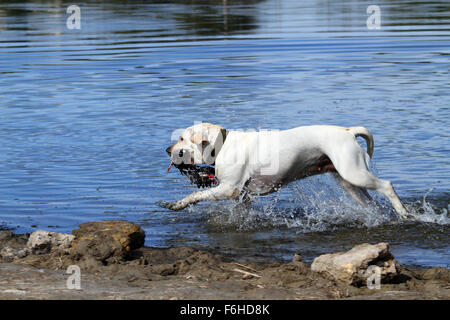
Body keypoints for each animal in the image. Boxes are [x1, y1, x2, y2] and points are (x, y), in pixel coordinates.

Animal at [163, 123, 410, 220]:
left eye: (181, 138)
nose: (167, 150)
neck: (222, 146)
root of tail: (348, 131)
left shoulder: (228, 189)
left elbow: (196, 195)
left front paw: (177, 204)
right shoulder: (242, 196)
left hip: (354, 173)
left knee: (387, 185)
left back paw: (403, 212)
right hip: (350, 183)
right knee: (372, 204)